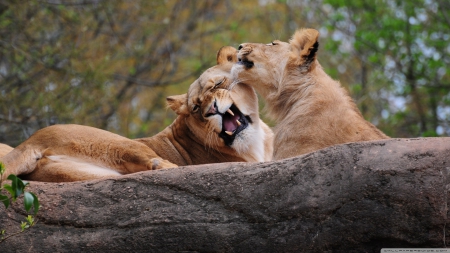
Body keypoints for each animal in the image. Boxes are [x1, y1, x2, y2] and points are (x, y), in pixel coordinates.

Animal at [0, 46, 274, 182]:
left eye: (217, 84)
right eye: (196, 108)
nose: (211, 109)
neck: (257, 140)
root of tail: (30, 142)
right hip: (116, 141)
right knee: (156, 163)